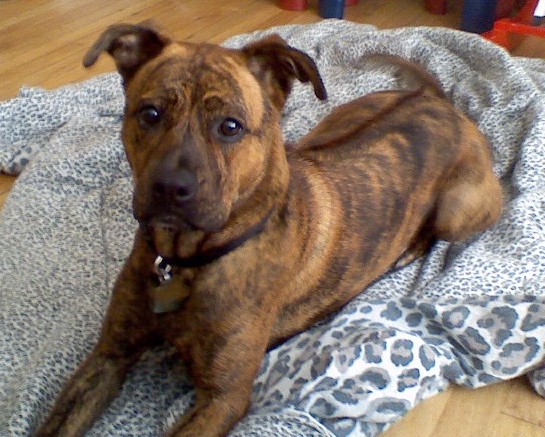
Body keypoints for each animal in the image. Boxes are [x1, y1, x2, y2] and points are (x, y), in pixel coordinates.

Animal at [34, 22, 502, 434]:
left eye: (230, 126)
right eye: (149, 114)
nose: (170, 188)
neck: (187, 262)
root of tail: (439, 102)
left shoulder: (223, 399)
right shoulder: (109, 355)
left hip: (457, 209)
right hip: (331, 122)